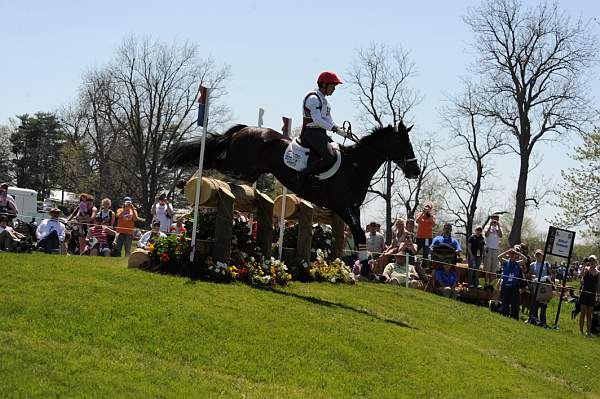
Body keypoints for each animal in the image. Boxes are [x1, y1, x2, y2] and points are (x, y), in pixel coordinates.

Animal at [163, 122, 418, 276]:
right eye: (405, 144)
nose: (415, 171)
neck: (354, 167)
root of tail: (245, 129)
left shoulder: (352, 209)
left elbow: (360, 236)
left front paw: (366, 268)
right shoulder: (342, 207)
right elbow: (359, 234)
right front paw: (366, 269)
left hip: (248, 170)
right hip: (239, 165)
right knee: (212, 159)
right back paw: (183, 180)